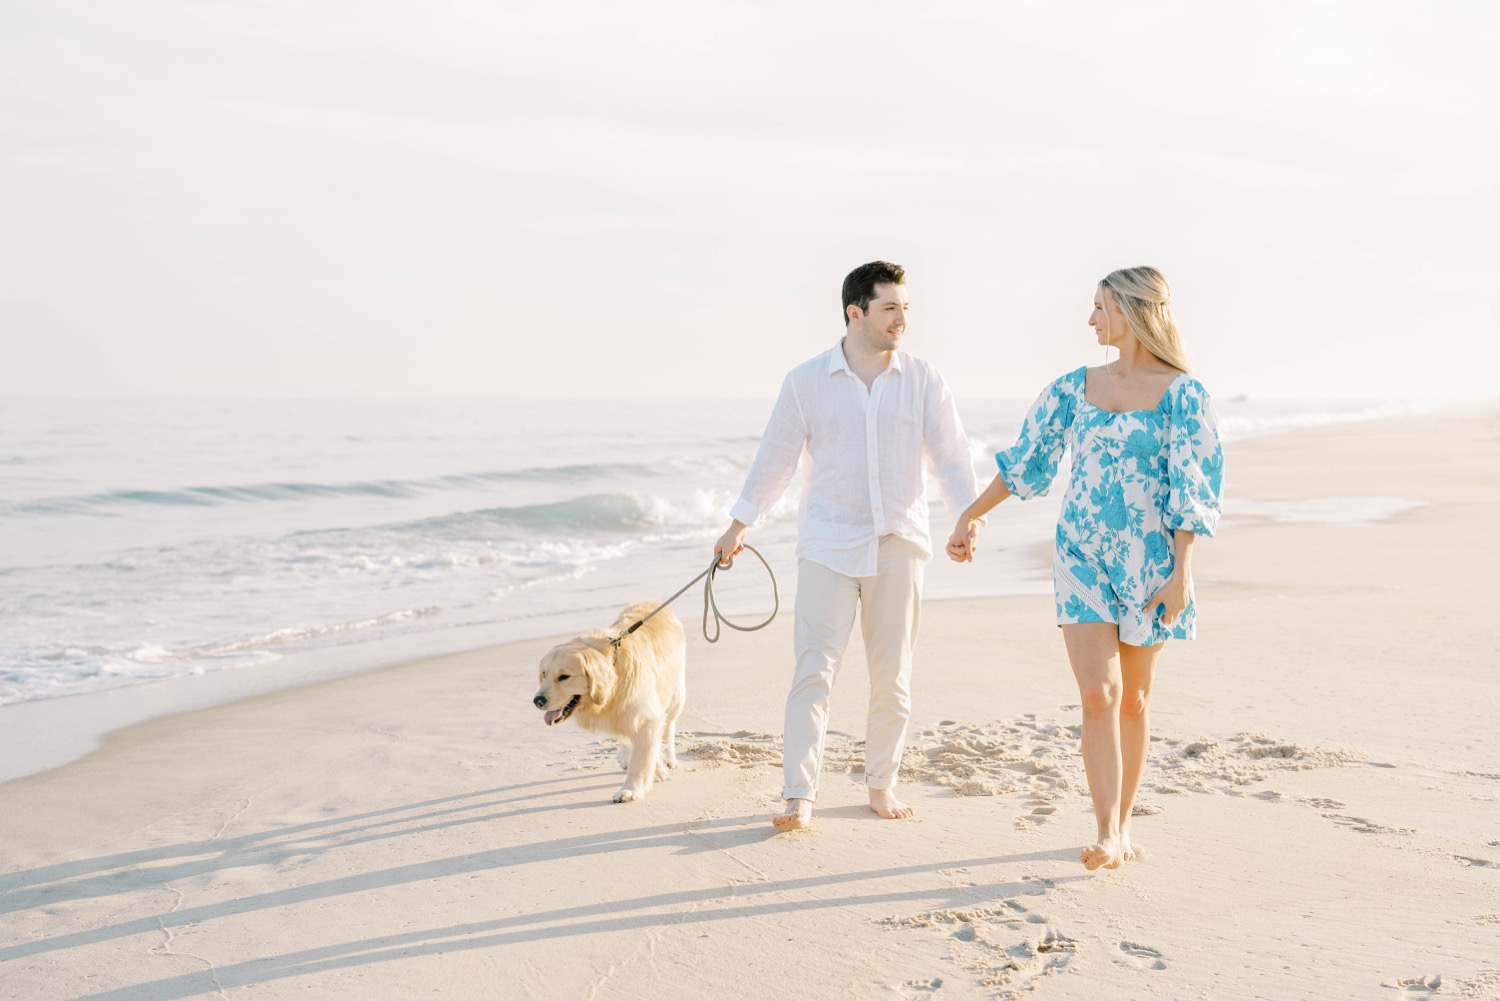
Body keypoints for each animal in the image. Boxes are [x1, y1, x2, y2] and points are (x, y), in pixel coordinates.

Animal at [534, 600, 687, 804]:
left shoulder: (646, 717)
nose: (537, 701)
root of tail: (653, 600)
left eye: (564, 676)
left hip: (676, 693)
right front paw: (653, 770)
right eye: (544, 674)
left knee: (669, 725)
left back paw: (669, 758)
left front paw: (631, 789)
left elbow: (641, 759)